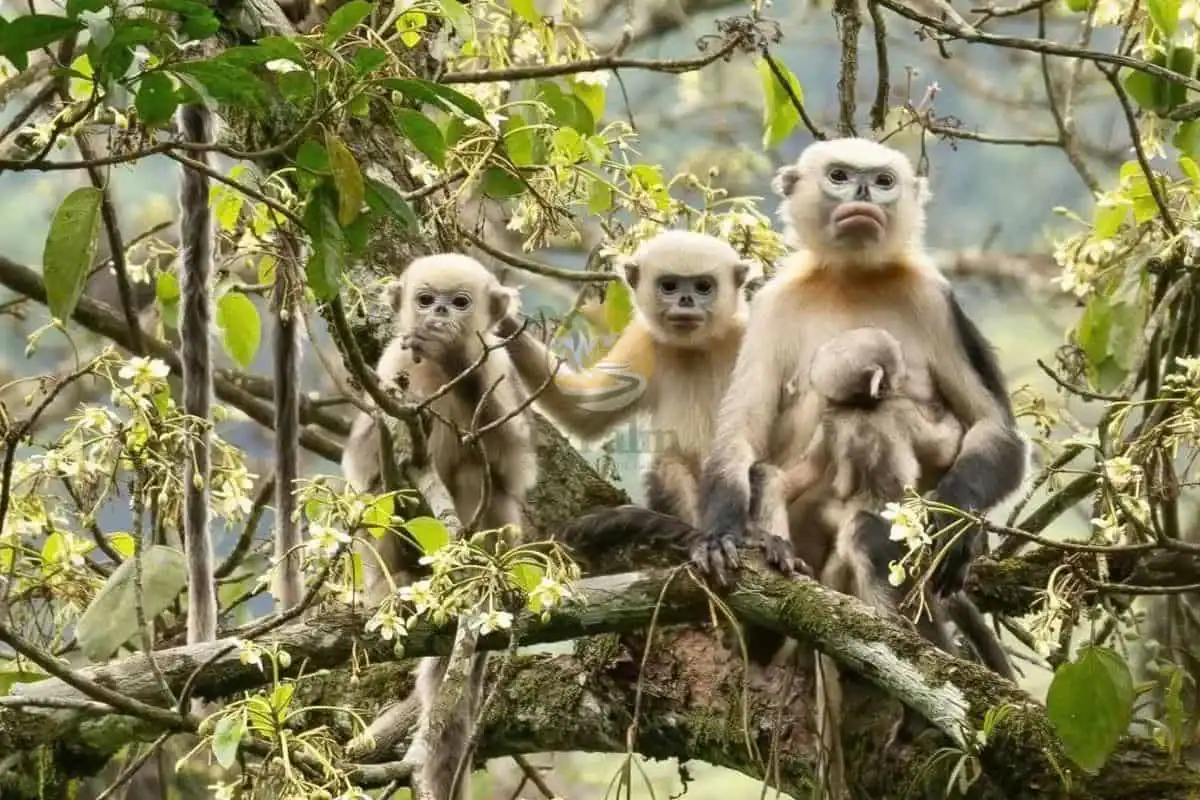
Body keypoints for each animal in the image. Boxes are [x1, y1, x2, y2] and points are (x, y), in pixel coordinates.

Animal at [341, 253, 536, 800]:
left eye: (460, 302)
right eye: (426, 299)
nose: (439, 315)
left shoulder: (498, 371)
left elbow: (514, 468)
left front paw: (456, 348)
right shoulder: (388, 371)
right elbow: (363, 469)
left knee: (480, 479)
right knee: (382, 499)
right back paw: (401, 583)